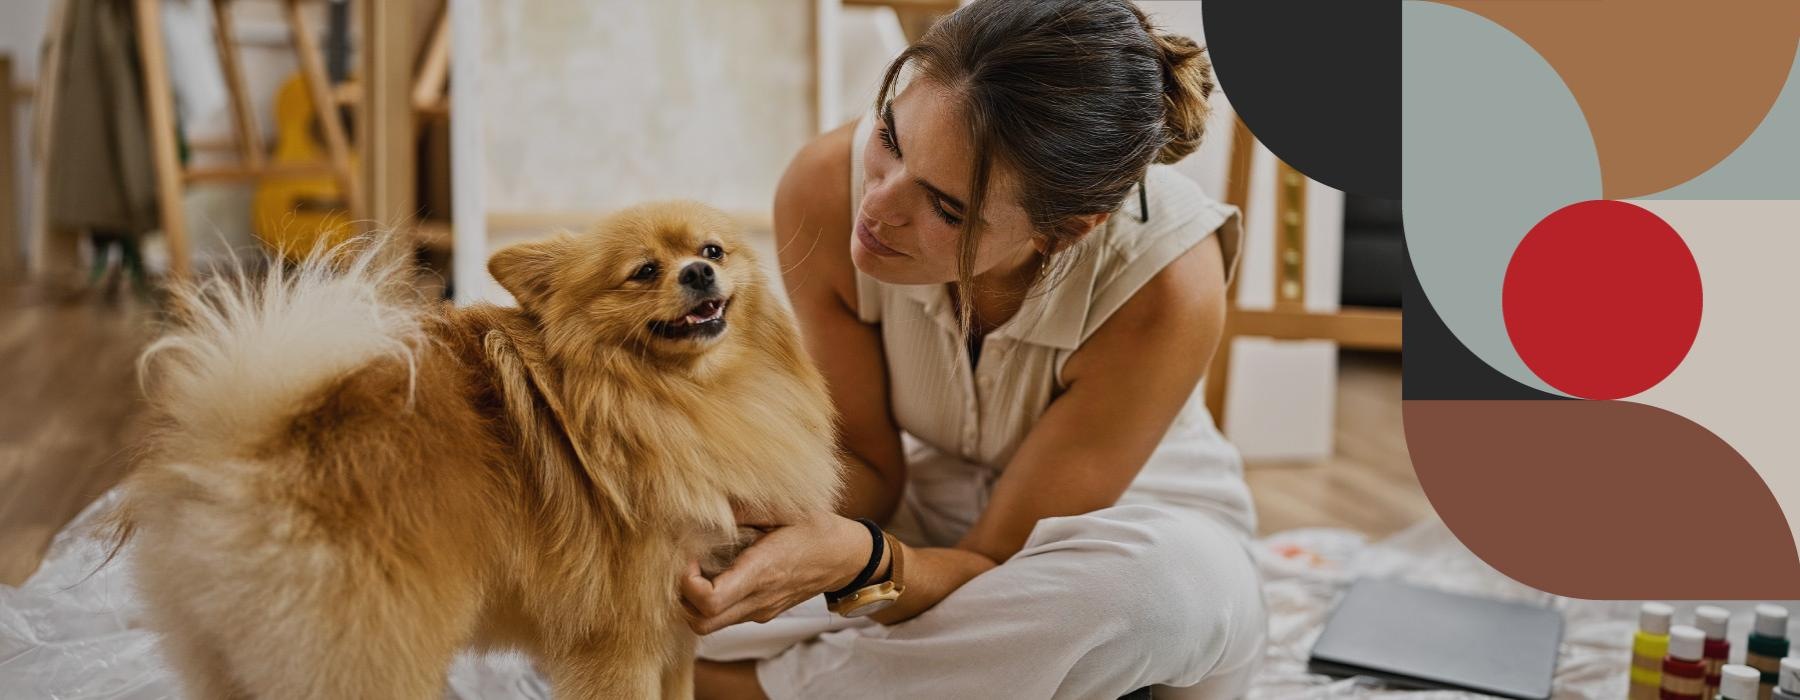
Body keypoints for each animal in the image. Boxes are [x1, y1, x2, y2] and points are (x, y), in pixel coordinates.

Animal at [116, 198, 846, 694]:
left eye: (713, 251)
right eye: (643, 272)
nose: (696, 273)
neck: (665, 394)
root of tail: (241, 441)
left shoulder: (676, 631)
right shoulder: (622, 640)